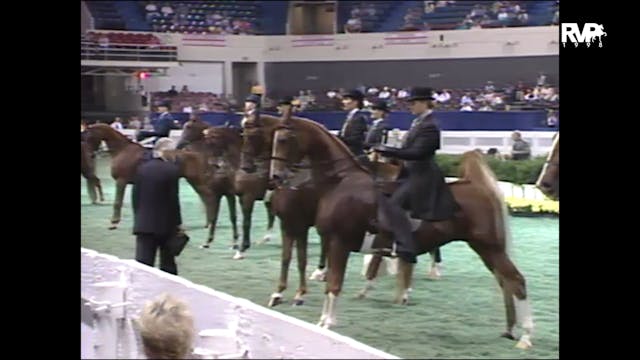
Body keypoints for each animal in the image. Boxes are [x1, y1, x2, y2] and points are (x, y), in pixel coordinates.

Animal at [81, 124, 212, 229]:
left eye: (88, 137)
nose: (90, 155)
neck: (122, 150)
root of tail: (196, 154)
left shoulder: (121, 181)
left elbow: (117, 203)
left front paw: (114, 222)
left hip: (196, 181)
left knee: (207, 196)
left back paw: (210, 222)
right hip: (193, 181)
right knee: (204, 197)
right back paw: (208, 222)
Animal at [178, 119, 276, 258]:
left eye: (189, 127)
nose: (179, 144)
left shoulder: (242, 196)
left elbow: (244, 222)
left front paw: (240, 249)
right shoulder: (229, 194)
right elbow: (228, 217)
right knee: (271, 214)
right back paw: (264, 239)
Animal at [270, 115, 536, 348]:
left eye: (284, 139)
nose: (276, 177)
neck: (341, 182)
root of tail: (478, 186)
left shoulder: (339, 242)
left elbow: (334, 285)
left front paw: (326, 324)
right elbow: (330, 282)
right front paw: (322, 319)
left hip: (489, 246)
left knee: (516, 281)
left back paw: (525, 337)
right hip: (485, 249)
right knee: (505, 282)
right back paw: (509, 330)